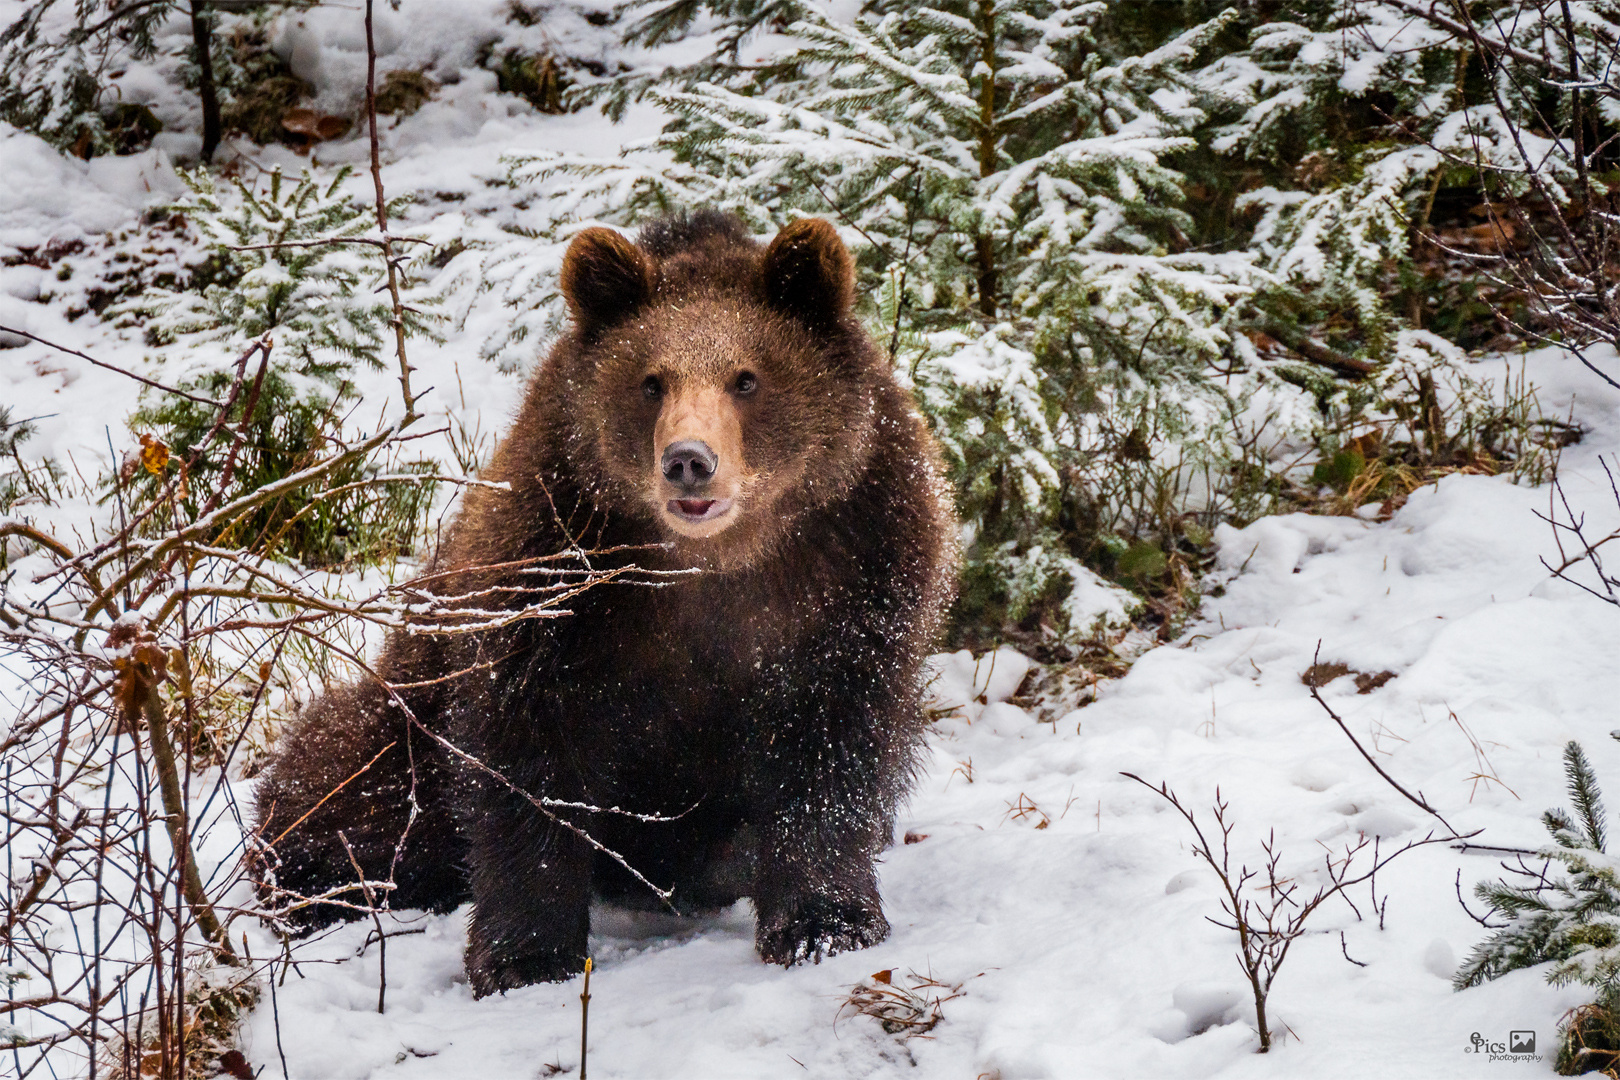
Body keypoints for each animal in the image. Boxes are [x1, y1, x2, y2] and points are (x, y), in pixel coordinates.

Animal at [254, 210, 959, 997]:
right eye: (651, 381)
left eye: (747, 377)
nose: (688, 460)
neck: (715, 562)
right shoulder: (558, 582)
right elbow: (528, 765)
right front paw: (526, 957)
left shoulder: (850, 572)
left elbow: (830, 750)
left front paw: (824, 923)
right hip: (411, 711)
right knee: (346, 780)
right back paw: (315, 878)